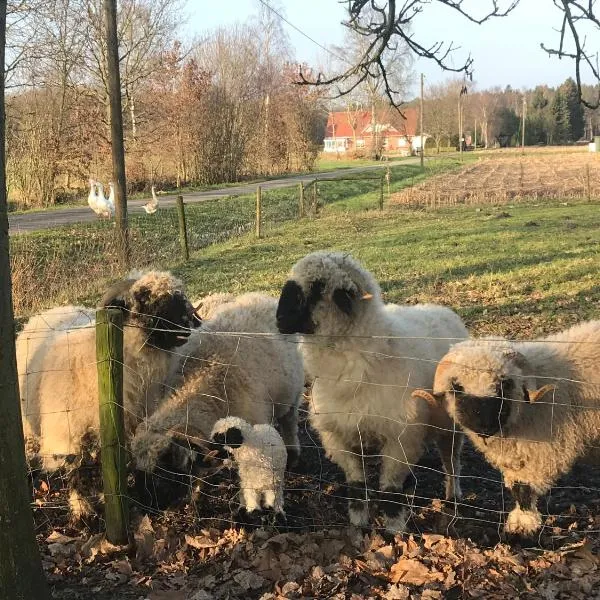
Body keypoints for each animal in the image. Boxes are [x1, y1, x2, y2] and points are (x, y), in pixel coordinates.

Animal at [15, 270, 199, 516]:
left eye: (180, 297)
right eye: (145, 299)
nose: (186, 326)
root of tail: (52, 310)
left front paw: (113, 497)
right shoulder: (70, 433)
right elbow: (77, 470)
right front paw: (81, 508)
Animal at [129, 292, 302, 508]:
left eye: (164, 468)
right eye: (136, 467)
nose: (144, 504)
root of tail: (260, 296)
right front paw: (197, 497)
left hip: (293, 393)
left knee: (289, 422)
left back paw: (293, 453)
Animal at [276, 251, 468, 532]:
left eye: (318, 286)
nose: (279, 319)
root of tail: (442, 308)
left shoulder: (400, 436)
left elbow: (389, 491)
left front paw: (394, 530)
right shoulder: (340, 435)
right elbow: (357, 487)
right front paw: (359, 524)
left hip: (450, 426)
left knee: (451, 461)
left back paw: (453, 496)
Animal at [412, 322, 600, 536]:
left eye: (504, 384)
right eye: (457, 386)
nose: (485, 426)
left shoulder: (543, 452)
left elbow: (524, 489)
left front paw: (522, 526)